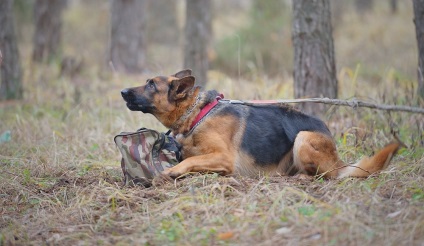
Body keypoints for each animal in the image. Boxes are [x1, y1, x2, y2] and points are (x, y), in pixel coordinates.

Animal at [121, 69, 400, 179]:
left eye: (151, 84)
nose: (122, 92)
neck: (200, 114)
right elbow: (190, 157)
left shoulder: (224, 158)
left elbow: (189, 161)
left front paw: (172, 171)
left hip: (303, 138)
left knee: (326, 175)